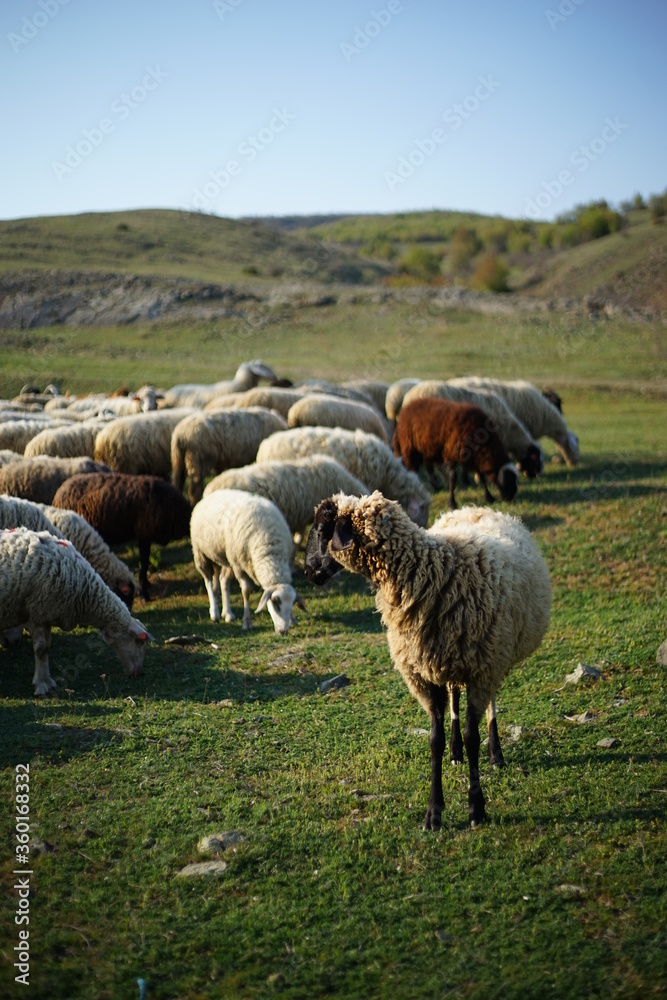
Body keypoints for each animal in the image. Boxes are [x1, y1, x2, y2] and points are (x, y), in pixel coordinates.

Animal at [0, 527, 153, 696]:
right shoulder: (37, 612)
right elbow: (40, 650)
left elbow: (46, 648)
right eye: (140, 642)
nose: (138, 673)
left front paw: (48, 682)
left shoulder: (46, 613)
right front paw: (41, 686)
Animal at [190, 489, 305, 635]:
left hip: (228, 557)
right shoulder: (239, 566)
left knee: (223, 580)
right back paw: (215, 613)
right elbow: (246, 591)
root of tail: (212, 493)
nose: (283, 631)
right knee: (208, 580)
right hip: (202, 553)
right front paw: (247, 623)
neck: (269, 548)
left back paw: (228, 613)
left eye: (291, 604)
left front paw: (292, 619)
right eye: (275, 602)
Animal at [305, 492, 551, 830]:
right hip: (450, 660)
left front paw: (476, 809)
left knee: (490, 705)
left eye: (322, 529)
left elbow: (474, 737)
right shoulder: (423, 674)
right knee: (454, 693)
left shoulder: (482, 668)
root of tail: (477, 508)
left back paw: (495, 753)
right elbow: (435, 740)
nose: (308, 571)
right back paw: (456, 751)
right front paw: (434, 812)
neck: (430, 571)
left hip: (494, 655)